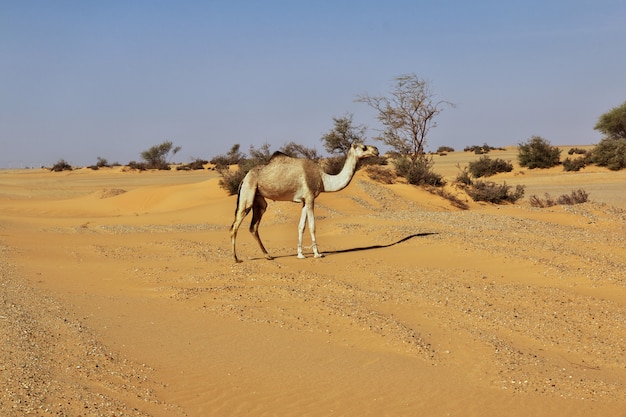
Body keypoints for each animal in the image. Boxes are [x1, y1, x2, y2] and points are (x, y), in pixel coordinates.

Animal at [228, 143, 376, 260]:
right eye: (363, 147)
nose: (376, 150)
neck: (323, 179)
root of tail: (244, 178)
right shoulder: (310, 198)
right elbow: (312, 226)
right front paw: (317, 254)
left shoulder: (304, 201)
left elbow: (301, 226)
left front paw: (300, 254)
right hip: (247, 194)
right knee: (235, 224)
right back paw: (236, 258)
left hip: (259, 200)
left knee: (253, 226)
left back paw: (268, 255)